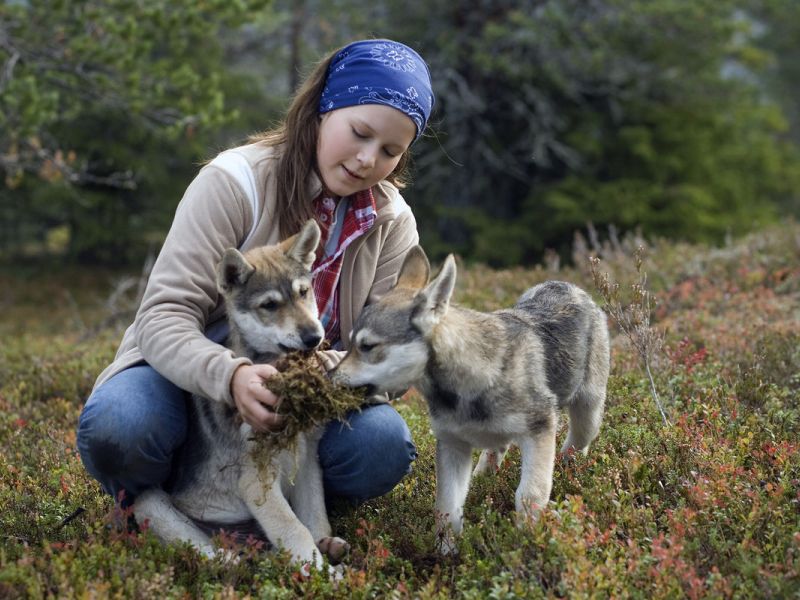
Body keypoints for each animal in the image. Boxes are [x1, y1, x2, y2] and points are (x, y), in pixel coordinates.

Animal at [133, 219, 348, 573]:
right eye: (270, 305)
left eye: (303, 292)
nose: (314, 337)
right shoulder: (256, 478)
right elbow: (295, 530)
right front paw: (322, 575)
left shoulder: (307, 459)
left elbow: (314, 518)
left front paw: (323, 552)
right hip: (149, 501)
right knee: (209, 552)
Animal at [331, 246, 610, 553]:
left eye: (367, 346)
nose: (328, 375)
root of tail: (567, 285)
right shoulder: (452, 446)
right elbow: (446, 507)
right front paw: (447, 553)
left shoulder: (540, 430)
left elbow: (529, 494)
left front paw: (526, 541)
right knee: (496, 448)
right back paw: (484, 475)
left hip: (587, 415)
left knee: (576, 444)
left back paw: (571, 468)